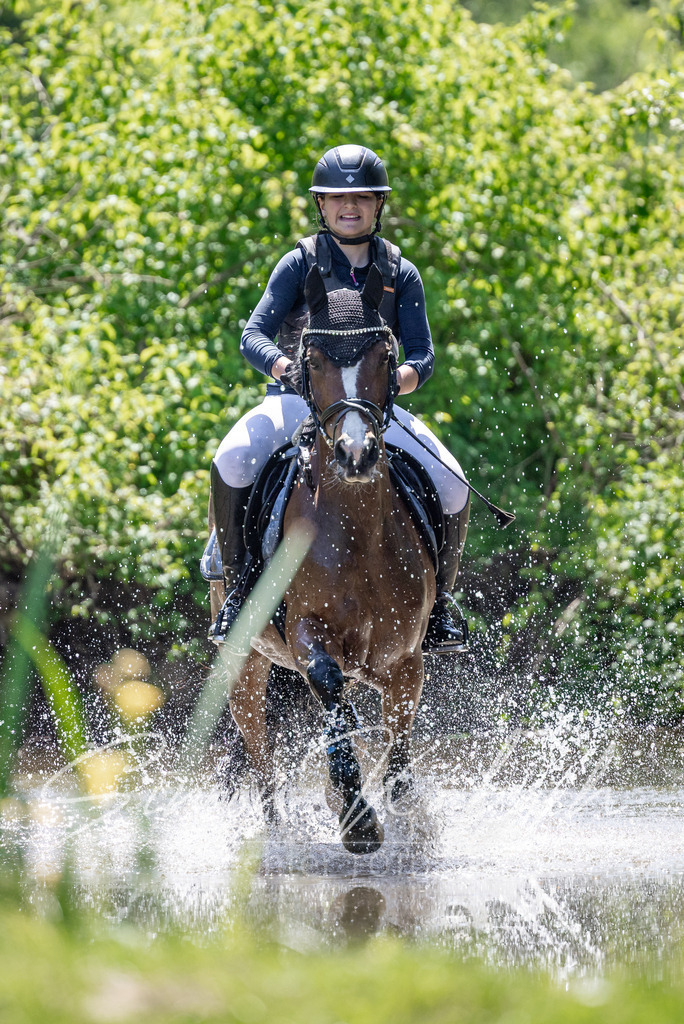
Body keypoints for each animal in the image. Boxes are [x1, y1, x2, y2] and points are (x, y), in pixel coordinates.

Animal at [222, 263, 436, 855]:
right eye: (313, 361)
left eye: (384, 356)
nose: (355, 454)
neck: (356, 537)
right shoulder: (305, 634)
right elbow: (331, 693)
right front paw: (357, 817)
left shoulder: (404, 658)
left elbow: (397, 743)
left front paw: (395, 808)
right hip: (245, 658)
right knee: (258, 748)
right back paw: (276, 830)